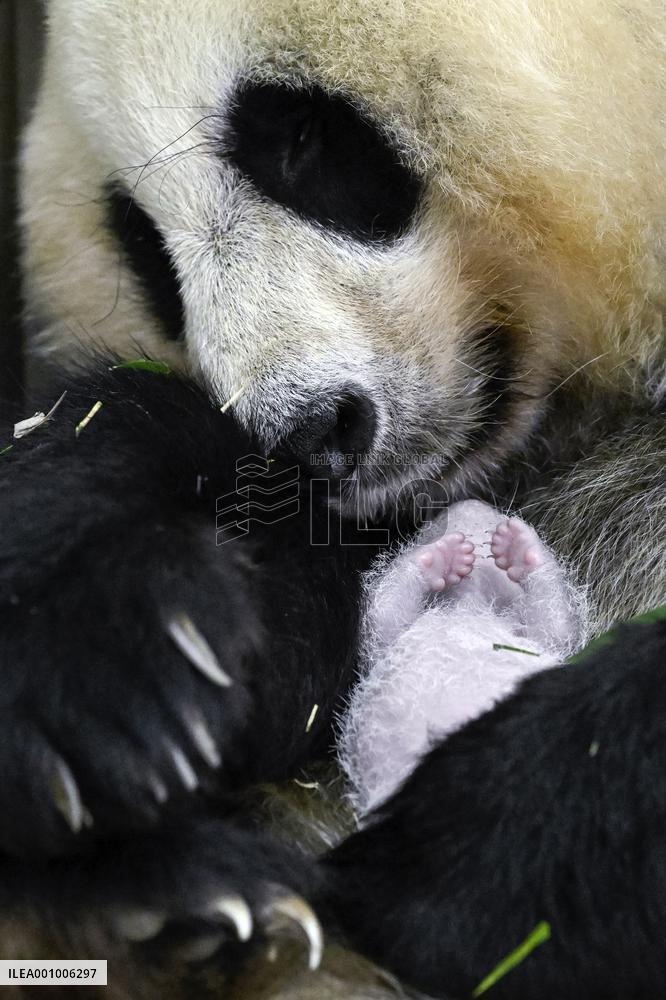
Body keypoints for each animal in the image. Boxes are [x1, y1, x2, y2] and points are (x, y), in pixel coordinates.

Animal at [2, 0, 665, 997]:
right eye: (145, 249)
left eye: (303, 137)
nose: (308, 432)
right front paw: (110, 664)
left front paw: (477, 855)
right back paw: (168, 902)